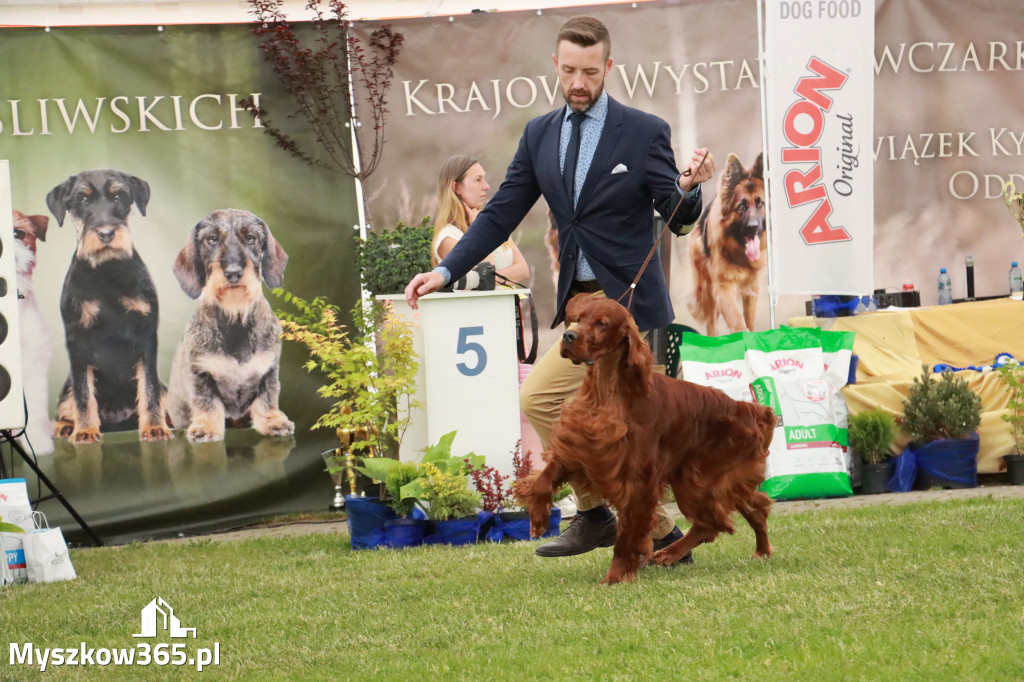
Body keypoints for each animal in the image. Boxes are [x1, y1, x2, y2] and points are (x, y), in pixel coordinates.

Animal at [512, 294, 774, 581]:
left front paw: (616, 576)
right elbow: (544, 479)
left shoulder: (637, 479)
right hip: (712, 479)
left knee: (716, 521)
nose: (568, 336)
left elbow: (628, 534)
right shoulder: (583, 447)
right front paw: (538, 519)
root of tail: (749, 409)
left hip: (699, 480)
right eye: (578, 319)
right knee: (747, 509)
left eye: (601, 323)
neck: (609, 392)